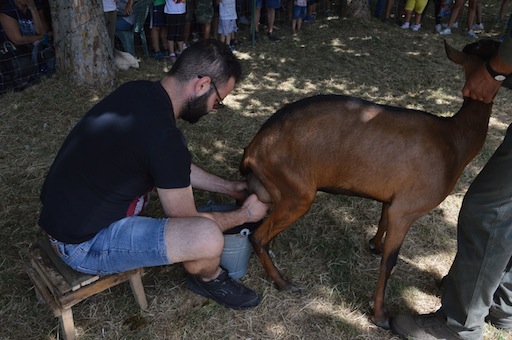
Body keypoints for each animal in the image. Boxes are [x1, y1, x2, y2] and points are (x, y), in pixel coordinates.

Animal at [241, 39, 504, 330]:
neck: (455, 141)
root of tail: (254, 148)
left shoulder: (393, 199)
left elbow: (382, 221)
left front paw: (374, 245)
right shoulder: (407, 208)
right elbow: (390, 261)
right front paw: (381, 315)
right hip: (296, 192)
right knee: (257, 236)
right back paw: (283, 282)